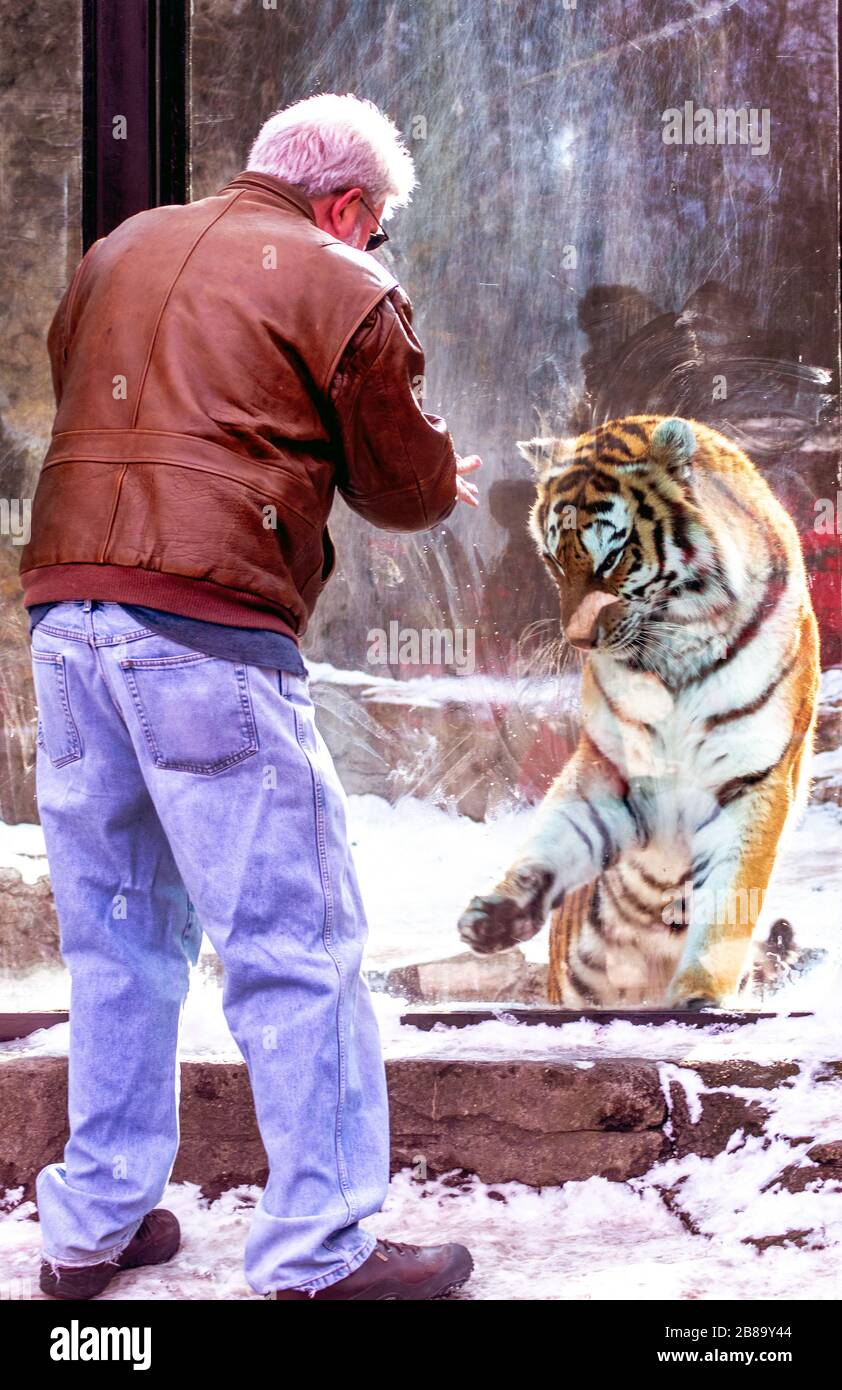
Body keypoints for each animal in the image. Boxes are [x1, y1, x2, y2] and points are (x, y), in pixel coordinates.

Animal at [458, 411, 822, 1011]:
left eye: (612, 559)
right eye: (554, 560)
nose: (579, 641)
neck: (674, 654)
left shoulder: (754, 779)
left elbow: (728, 900)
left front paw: (701, 993)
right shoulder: (614, 770)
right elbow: (558, 834)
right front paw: (497, 912)